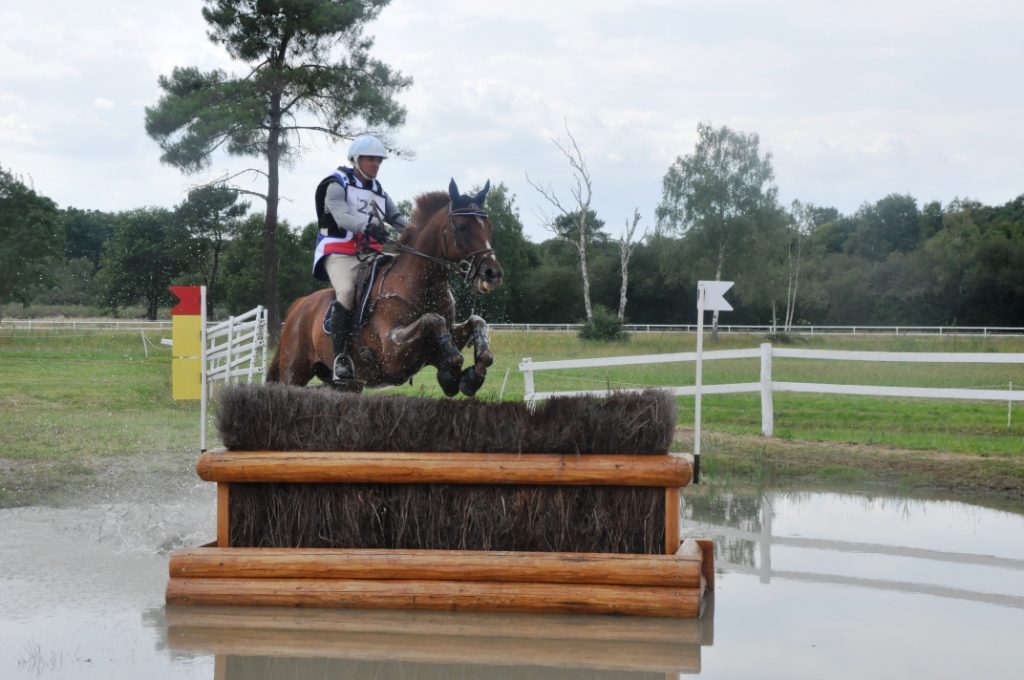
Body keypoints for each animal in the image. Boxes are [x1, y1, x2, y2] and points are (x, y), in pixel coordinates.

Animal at [266, 178, 501, 395]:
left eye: (489, 228)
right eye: (461, 227)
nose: (493, 274)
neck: (424, 285)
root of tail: (299, 305)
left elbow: (477, 323)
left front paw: (470, 378)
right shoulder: (393, 354)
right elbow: (433, 320)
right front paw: (451, 374)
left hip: (347, 385)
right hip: (294, 373)